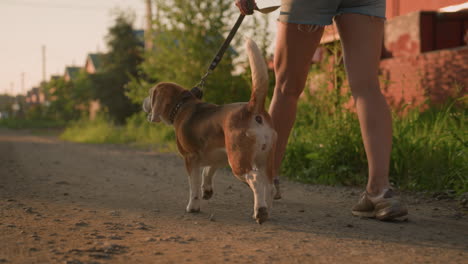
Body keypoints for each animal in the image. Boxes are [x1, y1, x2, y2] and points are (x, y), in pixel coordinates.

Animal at [141, 39, 276, 224]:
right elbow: (208, 171)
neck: (182, 105)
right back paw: (265, 208)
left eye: (150, 94)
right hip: (265, 160)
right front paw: (207, 190)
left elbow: (194, 186)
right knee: (268, 184)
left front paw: (193, 206)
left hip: (238, 162)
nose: (143, 102)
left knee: (255, 180)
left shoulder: (190, 158)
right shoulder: (218, 154)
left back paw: (260, 211)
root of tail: (252, 109)